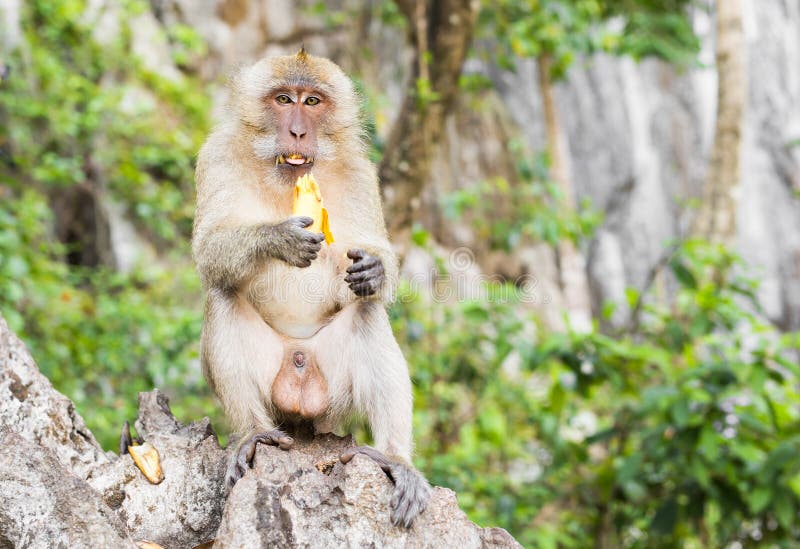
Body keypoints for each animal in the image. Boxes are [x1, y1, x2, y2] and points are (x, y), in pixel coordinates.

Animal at [191, 49, 430, 527]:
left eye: (313, 101)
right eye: (284, 99)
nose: (299, 130)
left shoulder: (361, 174)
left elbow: (375, 258)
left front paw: (375, 269)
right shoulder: (216, 156)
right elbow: (208, 251)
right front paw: (279, 238)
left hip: (334, 392)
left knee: (366, 310)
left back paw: (395, 460)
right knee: (223, 290)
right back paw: (254, 435)